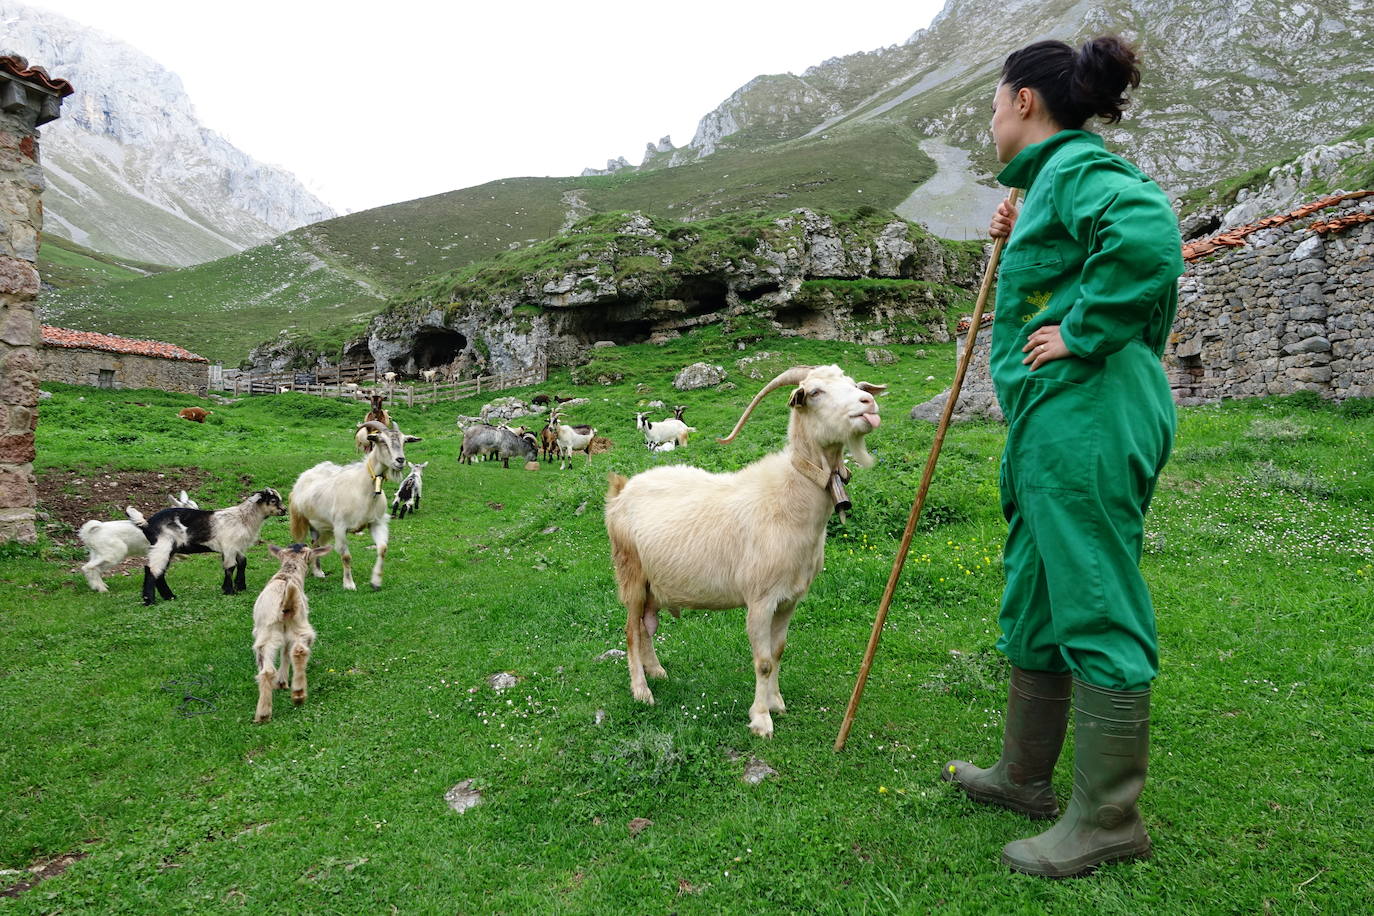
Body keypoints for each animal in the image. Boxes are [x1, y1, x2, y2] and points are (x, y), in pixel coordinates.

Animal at [140, 491, 285, 604]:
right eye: (273, 500)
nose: (284, 510)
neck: (243, 518)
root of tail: (147, 524)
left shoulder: (238, 547)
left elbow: (242, 563)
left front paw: (240, 587)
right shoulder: (229, 546)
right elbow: (230, 567)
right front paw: (230, 591)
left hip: (168, 548)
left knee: (159, 571)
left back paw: (169, 597)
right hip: (162, 545)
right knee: (152, 570)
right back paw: (150, 600)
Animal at [251, 543, 328, 725]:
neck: (288, 573)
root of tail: (287, 603)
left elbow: (284, 654)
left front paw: (281, 682)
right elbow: (287, 653)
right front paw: (283, 682)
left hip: (266, 634)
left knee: (266, 670)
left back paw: (263, 714)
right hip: (301, 626)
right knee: (299, 651)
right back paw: (298, 693)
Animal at [288, 420, 417, 590]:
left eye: (404, 441)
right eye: (382, 441)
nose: (400, 460)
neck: (363, 490)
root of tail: (304, 475)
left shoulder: (377, 522)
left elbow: (382, 549)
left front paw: (376, 581)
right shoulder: (340, 527)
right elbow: (346, 556)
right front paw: (349, 584)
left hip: (321, 525)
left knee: (315, 544)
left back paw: (318, 572)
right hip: (300, 519)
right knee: (302, 544)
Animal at [607, 365, 884, 736]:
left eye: (854, 385)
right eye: (814, 392)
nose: (868, 403)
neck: (788, 499)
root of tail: (621, 490)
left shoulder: (789, 599)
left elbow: (778, 651)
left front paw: (776, 702)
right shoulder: (760, 599)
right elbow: (763, 661)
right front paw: (761, 719)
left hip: (653, 582)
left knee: (643, 627)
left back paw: (656, 671)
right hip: (631, 572)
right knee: (630, 632)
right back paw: (641, 690)